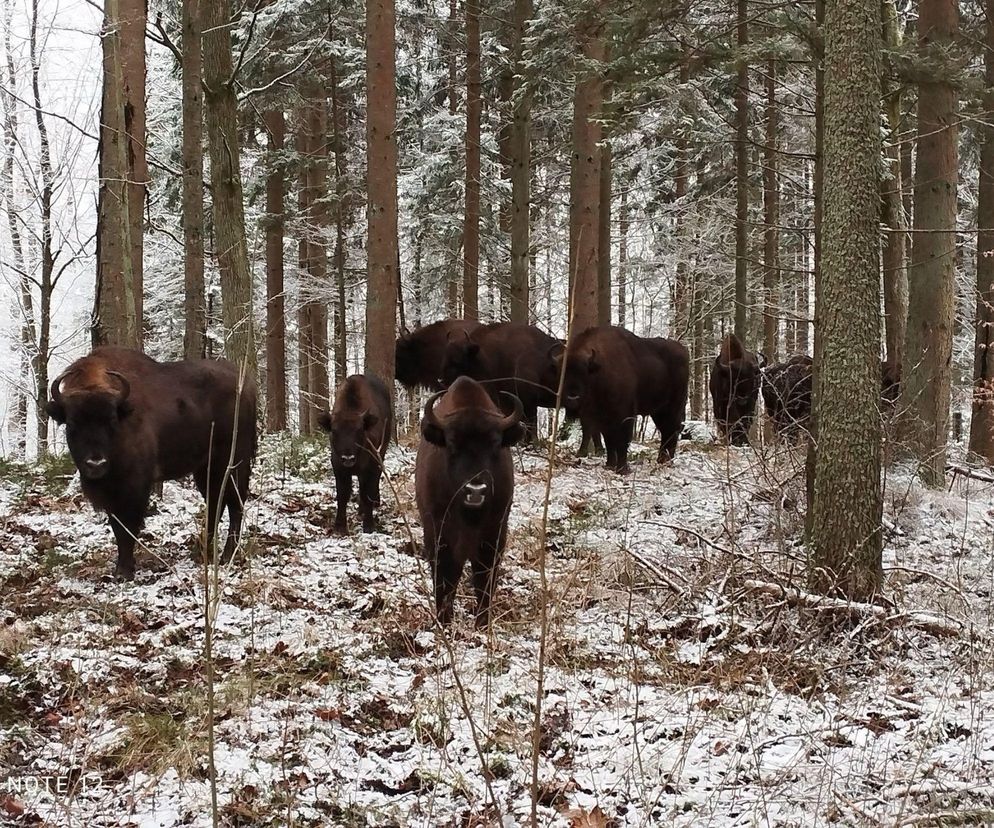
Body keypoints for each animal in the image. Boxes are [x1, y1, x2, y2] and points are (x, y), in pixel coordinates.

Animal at [47, 346, 258, 580]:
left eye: (111, 421)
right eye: (72, 423)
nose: (96, 463)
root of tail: (246, 385)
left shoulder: (134, 487)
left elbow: (127, 527)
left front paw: (125, 571)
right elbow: (117, 526)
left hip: (233, 462)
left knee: (235, 503)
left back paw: (227, 556)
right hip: (205, 468)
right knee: (215, 503)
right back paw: (200, 551)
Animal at [320, 374, 394, 532]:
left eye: (360, 430)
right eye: (334, 431)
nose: (348, 458)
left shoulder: (371, 466)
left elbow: (368, 494)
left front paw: (369, 526)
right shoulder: (338, 467)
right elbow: (342, 494)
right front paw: (340, 527)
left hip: (381, 454)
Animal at [410, 376, 524, 628]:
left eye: (495, 443)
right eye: (452, 443)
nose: (475, 489)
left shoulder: (494, 534)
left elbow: (484, 579)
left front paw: (482, 622)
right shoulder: (438, 535)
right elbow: (444, 578)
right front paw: (444, 620)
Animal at [556, 326, 684, 476]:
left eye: (584, 373)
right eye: (562, 374)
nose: (572, 397)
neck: (600, 370)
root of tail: (683, 350)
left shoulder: (624, 415)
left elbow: (622, 440)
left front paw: (623, 469)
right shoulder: (603, 418)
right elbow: (609, 441)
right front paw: (610, 465)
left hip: (674, 406)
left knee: (672, 429)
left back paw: (666, 461)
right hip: (658, 411)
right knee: (666, 430)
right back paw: (662, 460)